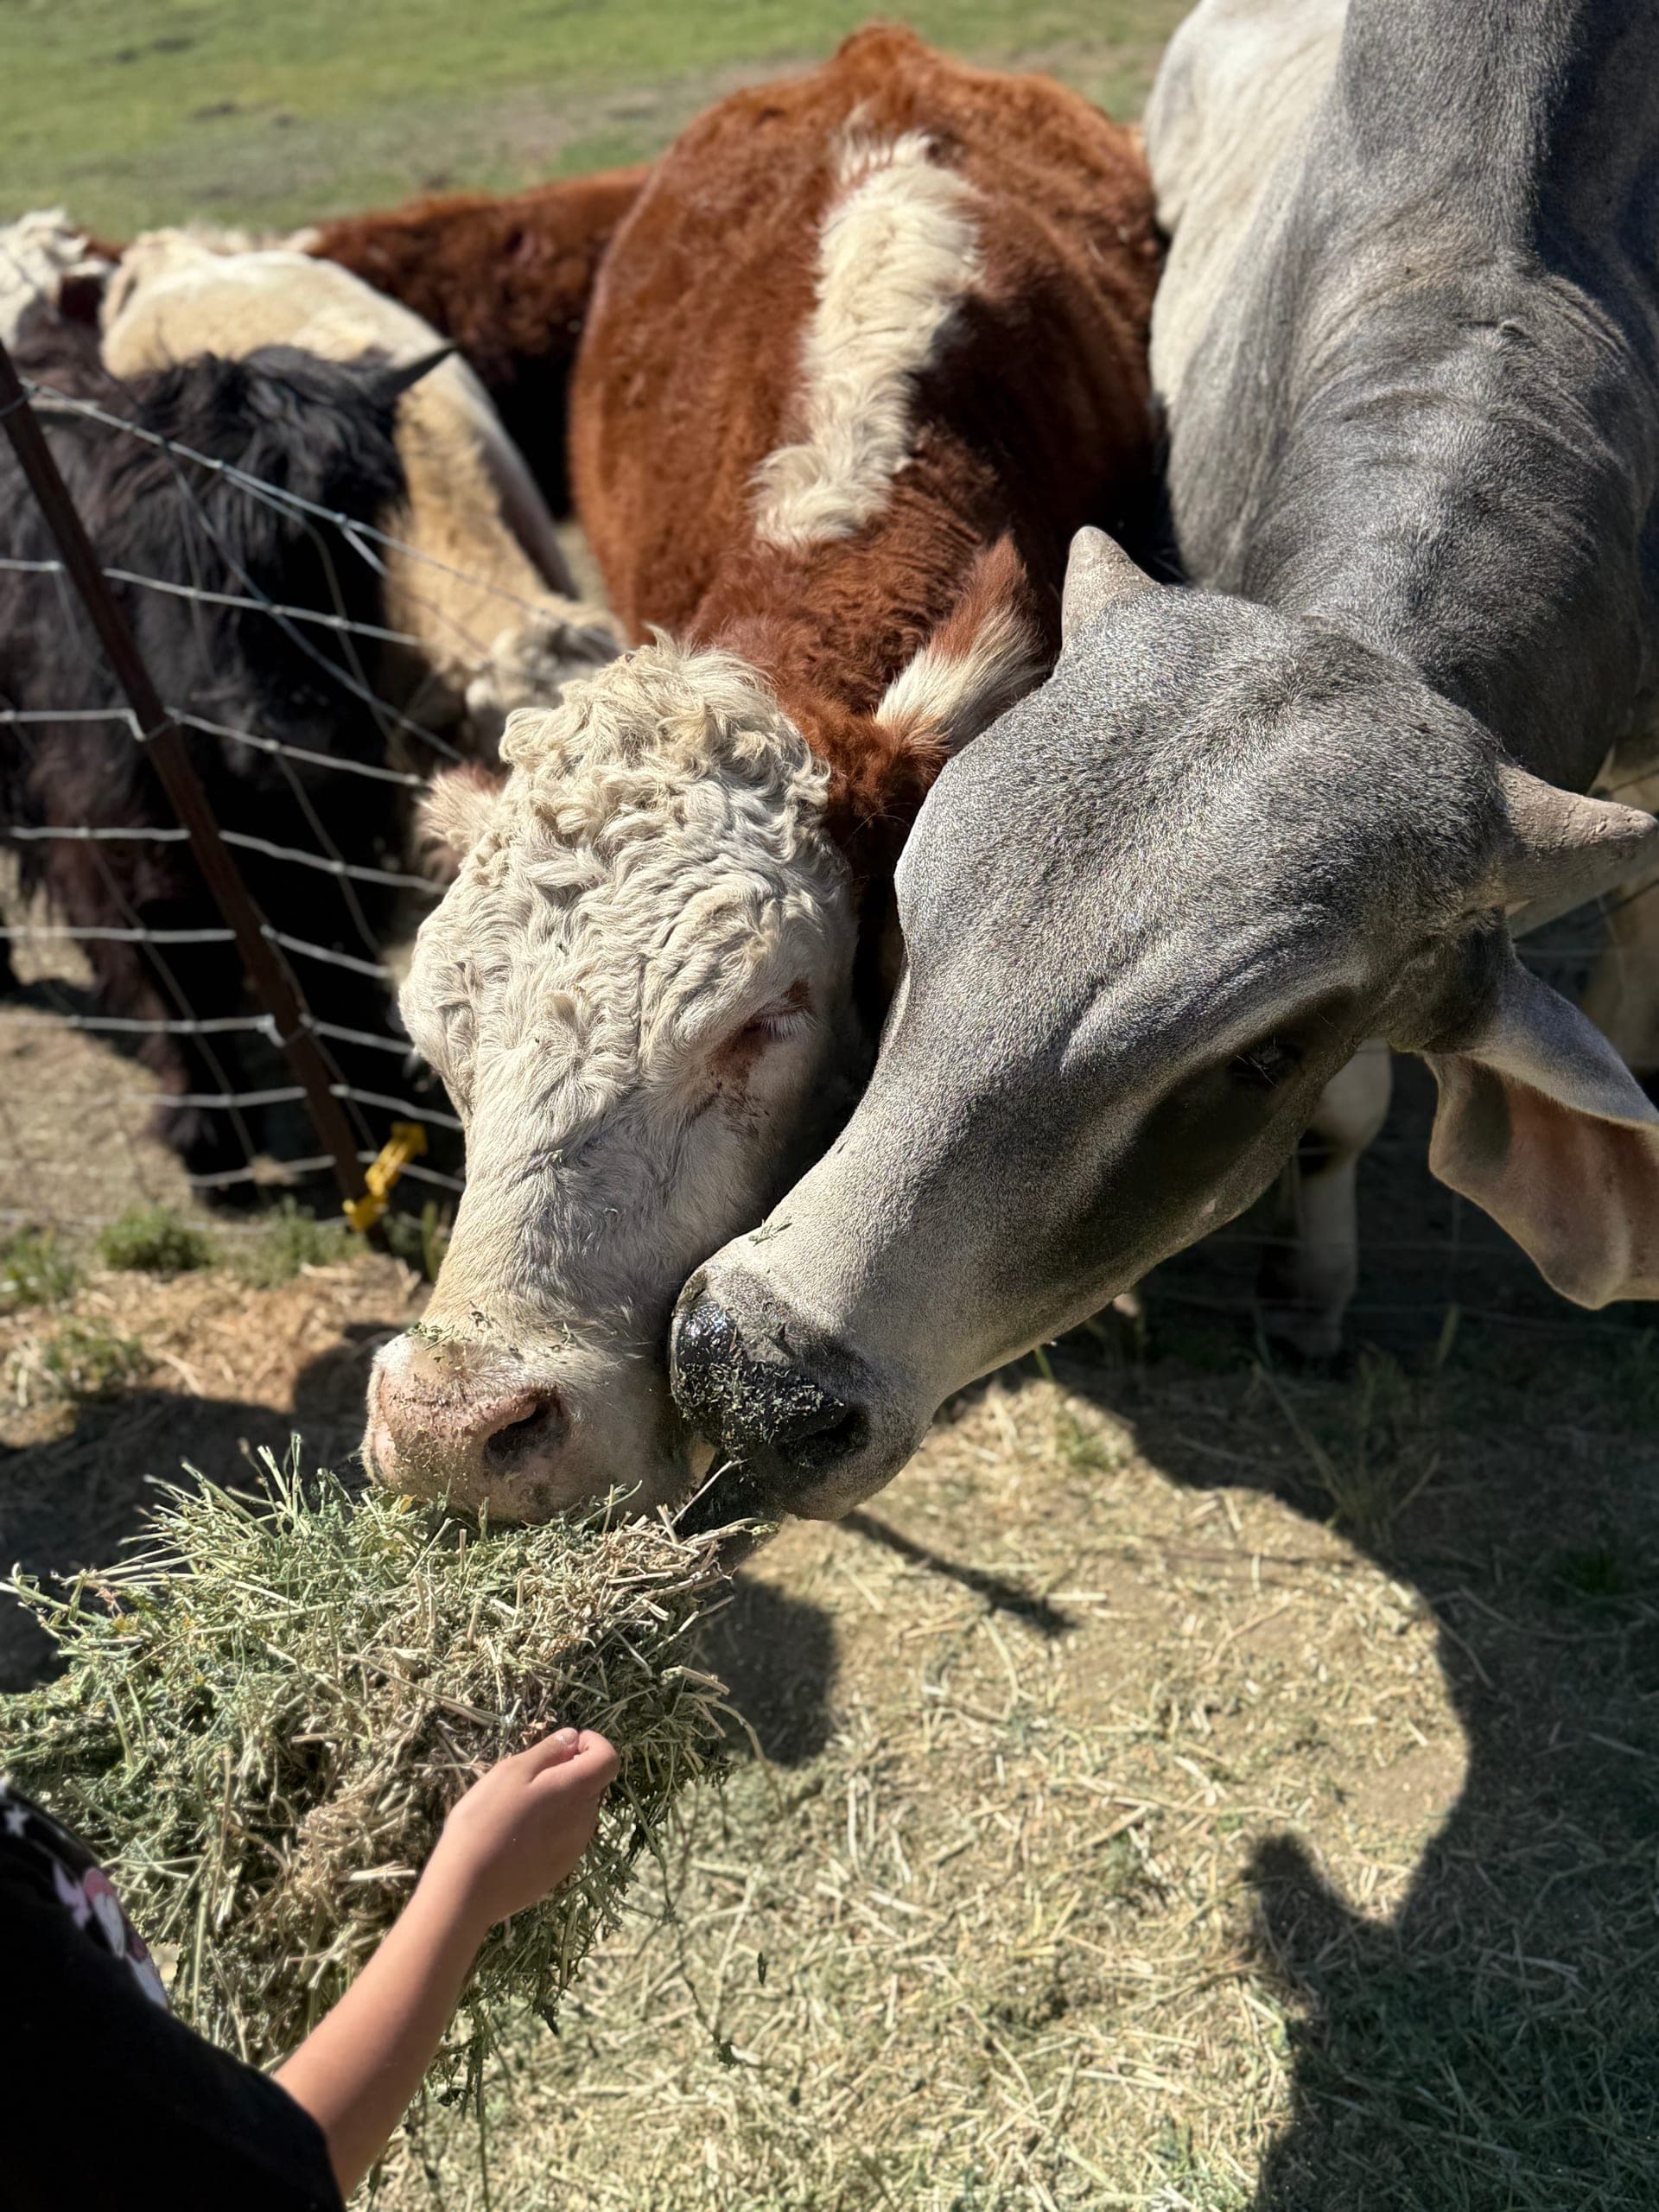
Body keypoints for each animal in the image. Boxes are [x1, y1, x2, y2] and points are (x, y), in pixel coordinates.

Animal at [0, 317, 445, 1187]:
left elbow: (332, 959)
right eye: (171, 553)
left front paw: (382, 1110)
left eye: (346, 541)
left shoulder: (337, 815)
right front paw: (206, 1138)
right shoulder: (126, 838)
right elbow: (181, 975)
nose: (297, 740)